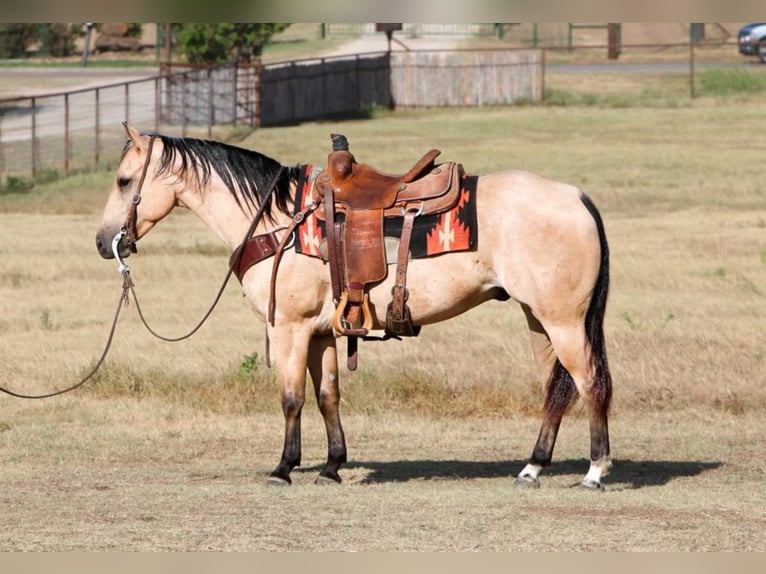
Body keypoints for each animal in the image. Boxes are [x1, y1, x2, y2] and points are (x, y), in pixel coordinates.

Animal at [96, 124, 616, 492]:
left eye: (124, 181)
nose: (104, 242)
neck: (278, 221)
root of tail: (576, 196)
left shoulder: (290, 329)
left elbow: (291, 398)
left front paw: (283, 468)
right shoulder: (323, 333)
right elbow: (328, 395)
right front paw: (331, 466)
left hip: (563, 321)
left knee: (589, 382)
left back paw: (594, 471)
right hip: (539, 321)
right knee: (555, 388)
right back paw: (533, 467)